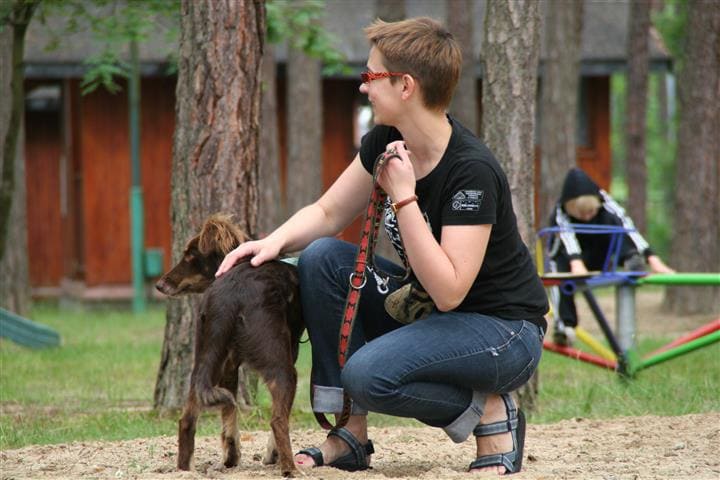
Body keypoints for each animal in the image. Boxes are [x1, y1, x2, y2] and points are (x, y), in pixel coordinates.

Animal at [156, 215, 302, 476]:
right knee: (278, 420)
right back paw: (290, 470)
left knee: (187, 419)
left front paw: (232, 456)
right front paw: (270, 455)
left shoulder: (230, 364)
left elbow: (229, 415)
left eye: (190, 256)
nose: (159, 285)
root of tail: (229, 296)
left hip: (205, 359)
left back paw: (185, 470)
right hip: (281, 366)